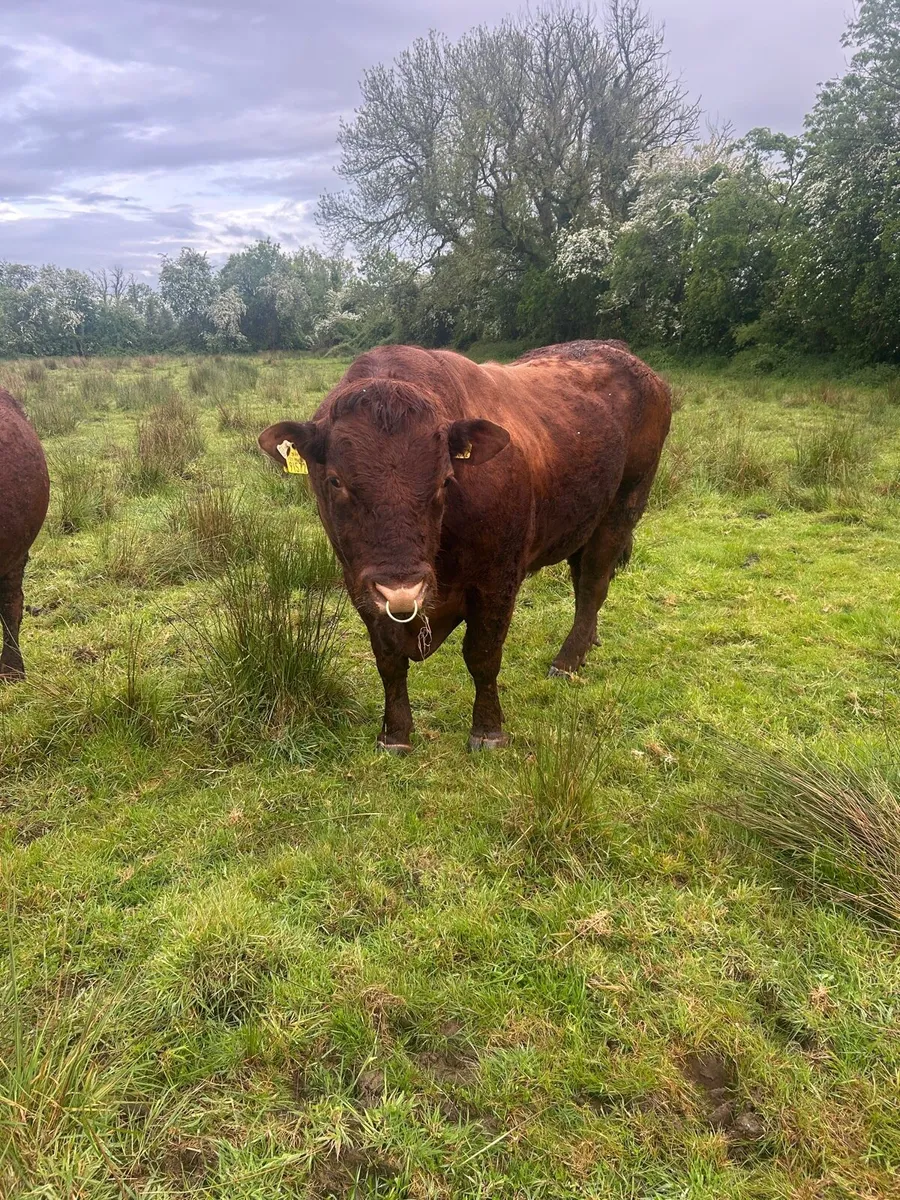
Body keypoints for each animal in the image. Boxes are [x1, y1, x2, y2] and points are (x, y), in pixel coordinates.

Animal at [259, 341, 671, 752]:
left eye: (445, 479)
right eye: (335, 480)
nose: (403, 588)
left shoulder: (497, 581)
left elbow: (482, 655)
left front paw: (488, 730)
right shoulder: (360, 586)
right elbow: (389, 660)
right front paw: (395, 734)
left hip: (621, 511)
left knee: (592, 587)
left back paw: (567, 660)